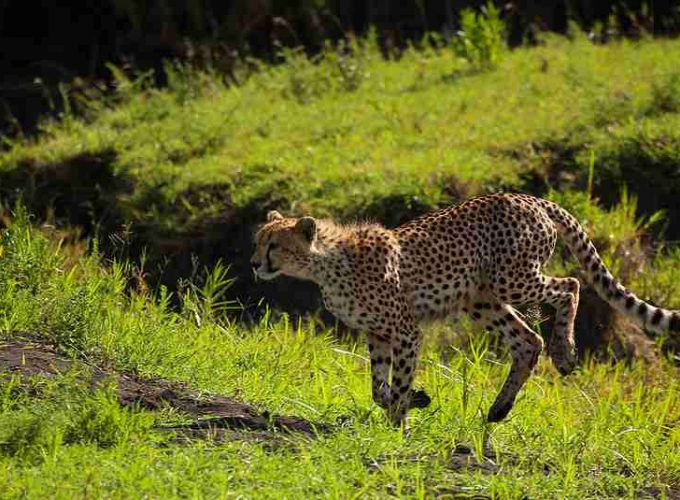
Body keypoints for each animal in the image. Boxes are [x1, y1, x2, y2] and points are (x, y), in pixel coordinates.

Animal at [250, 193, 680, 424]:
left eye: (274, 245)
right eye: (258, 241)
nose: (254, 263)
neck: (326, 263)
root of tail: (528, 197)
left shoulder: (405, 329)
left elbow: (397, 382)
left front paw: (398, 425)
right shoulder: (378, 333)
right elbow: (377, 387)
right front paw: (409, 404)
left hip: (512, 279)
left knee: (569, 286)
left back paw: (566, 352)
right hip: (481, 299)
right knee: (527, 341)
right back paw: (500, 408)